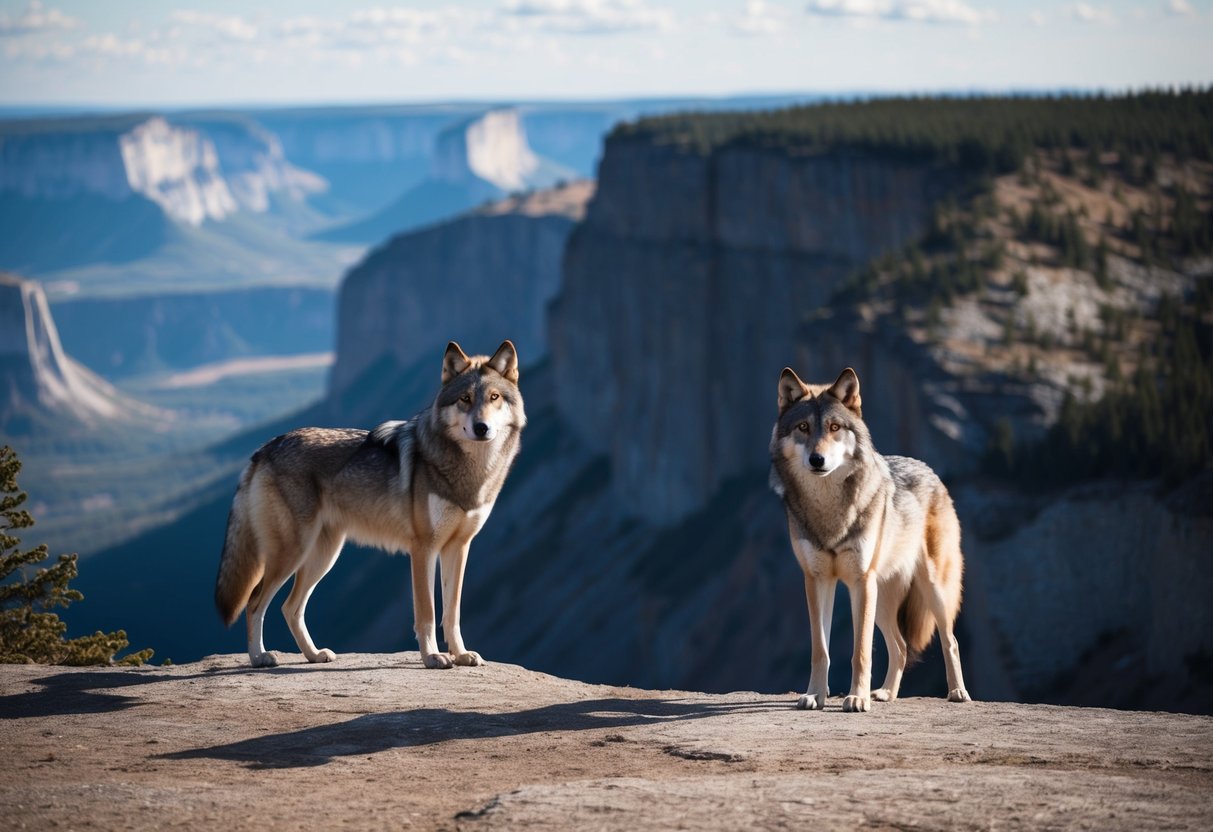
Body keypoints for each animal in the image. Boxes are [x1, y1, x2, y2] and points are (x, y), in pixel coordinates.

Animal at [214, 339, 526, 669]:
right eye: (465, 399)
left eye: (494, 397)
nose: (481, 428)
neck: (470, 473)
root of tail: (265, 447)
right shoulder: (424, 548)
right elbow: (427, 613)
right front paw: (432, 657)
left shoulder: (458, 547)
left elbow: (452, 613)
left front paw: (462, 654)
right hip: (292, 553)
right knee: (254, 602)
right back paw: (259, 657)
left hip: (323, 556)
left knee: (290, 607)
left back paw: (314, 655)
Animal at [771, 368, 970, 713]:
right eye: (803, 427)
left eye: (834, 427)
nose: (817, 459)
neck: (829, 511)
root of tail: (929, 469)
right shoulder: (817, 580)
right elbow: (820, 650)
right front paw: (815, 696)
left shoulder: (860, 581)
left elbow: (860, 651)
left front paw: (857, 698)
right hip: (881, 599)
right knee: (901, 646)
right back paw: (886, 694)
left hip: (929, 590)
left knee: (951, 641)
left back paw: (958, 692)